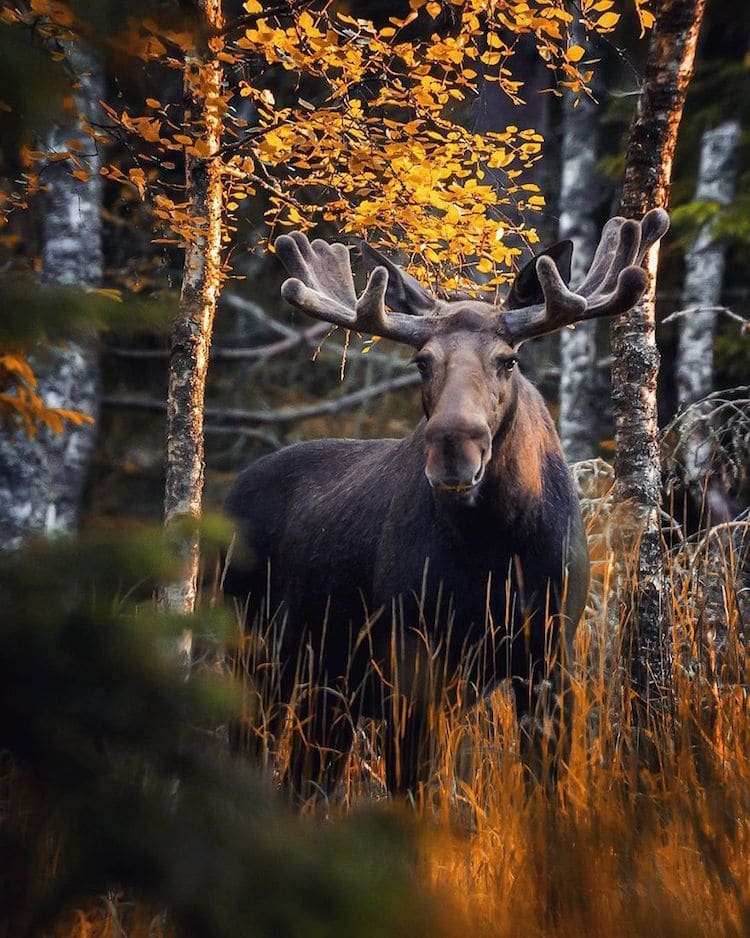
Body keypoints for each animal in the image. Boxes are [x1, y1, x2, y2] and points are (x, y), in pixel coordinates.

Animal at [226, 210, 672, 796]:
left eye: (508, 360)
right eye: (421, 361)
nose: (453, 449)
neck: (496, 548)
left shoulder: (551, 650)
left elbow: (545, 786)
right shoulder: (413, 651)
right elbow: (411, 788)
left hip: (326, 689)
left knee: (303, 780)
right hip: (252, 652)